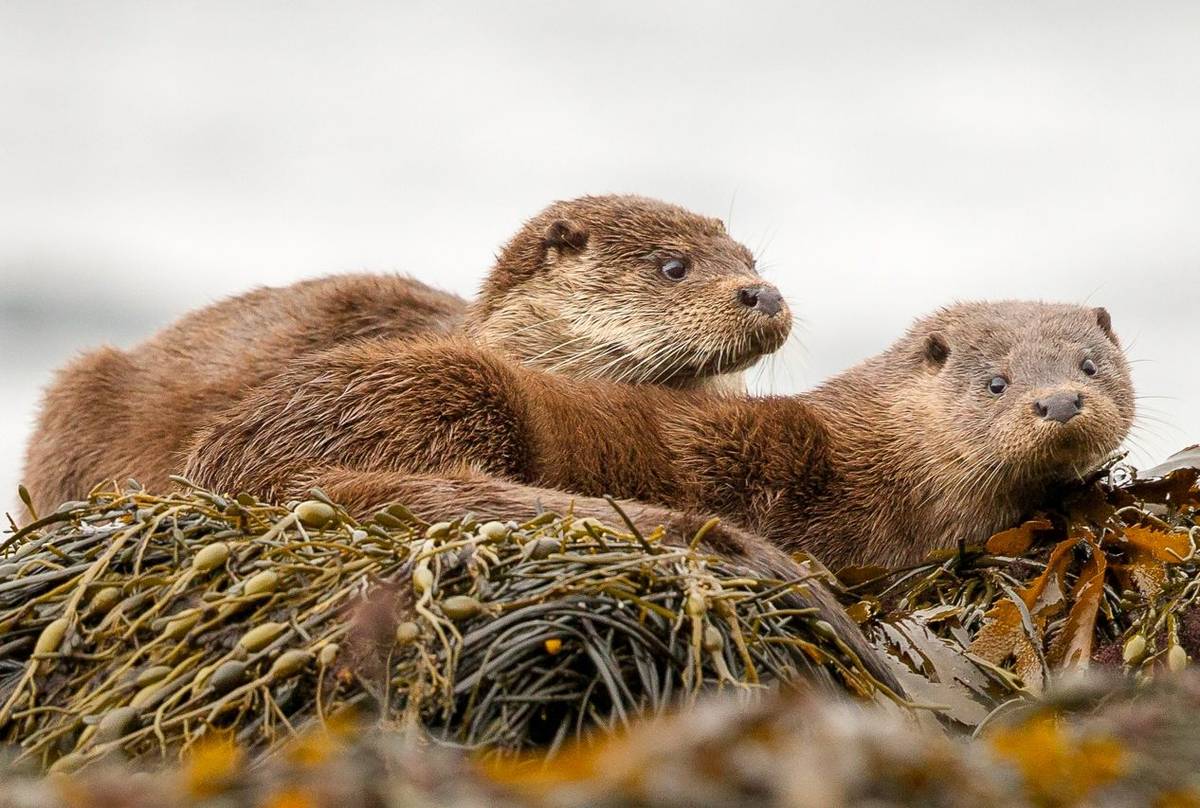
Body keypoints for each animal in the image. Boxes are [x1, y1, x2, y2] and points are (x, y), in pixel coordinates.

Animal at [180, 298, 1132, 571]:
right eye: (996, 382)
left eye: (1089, 366)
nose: (1057, 404)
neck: (890, 462)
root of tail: (233, 463)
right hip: (451, 393)